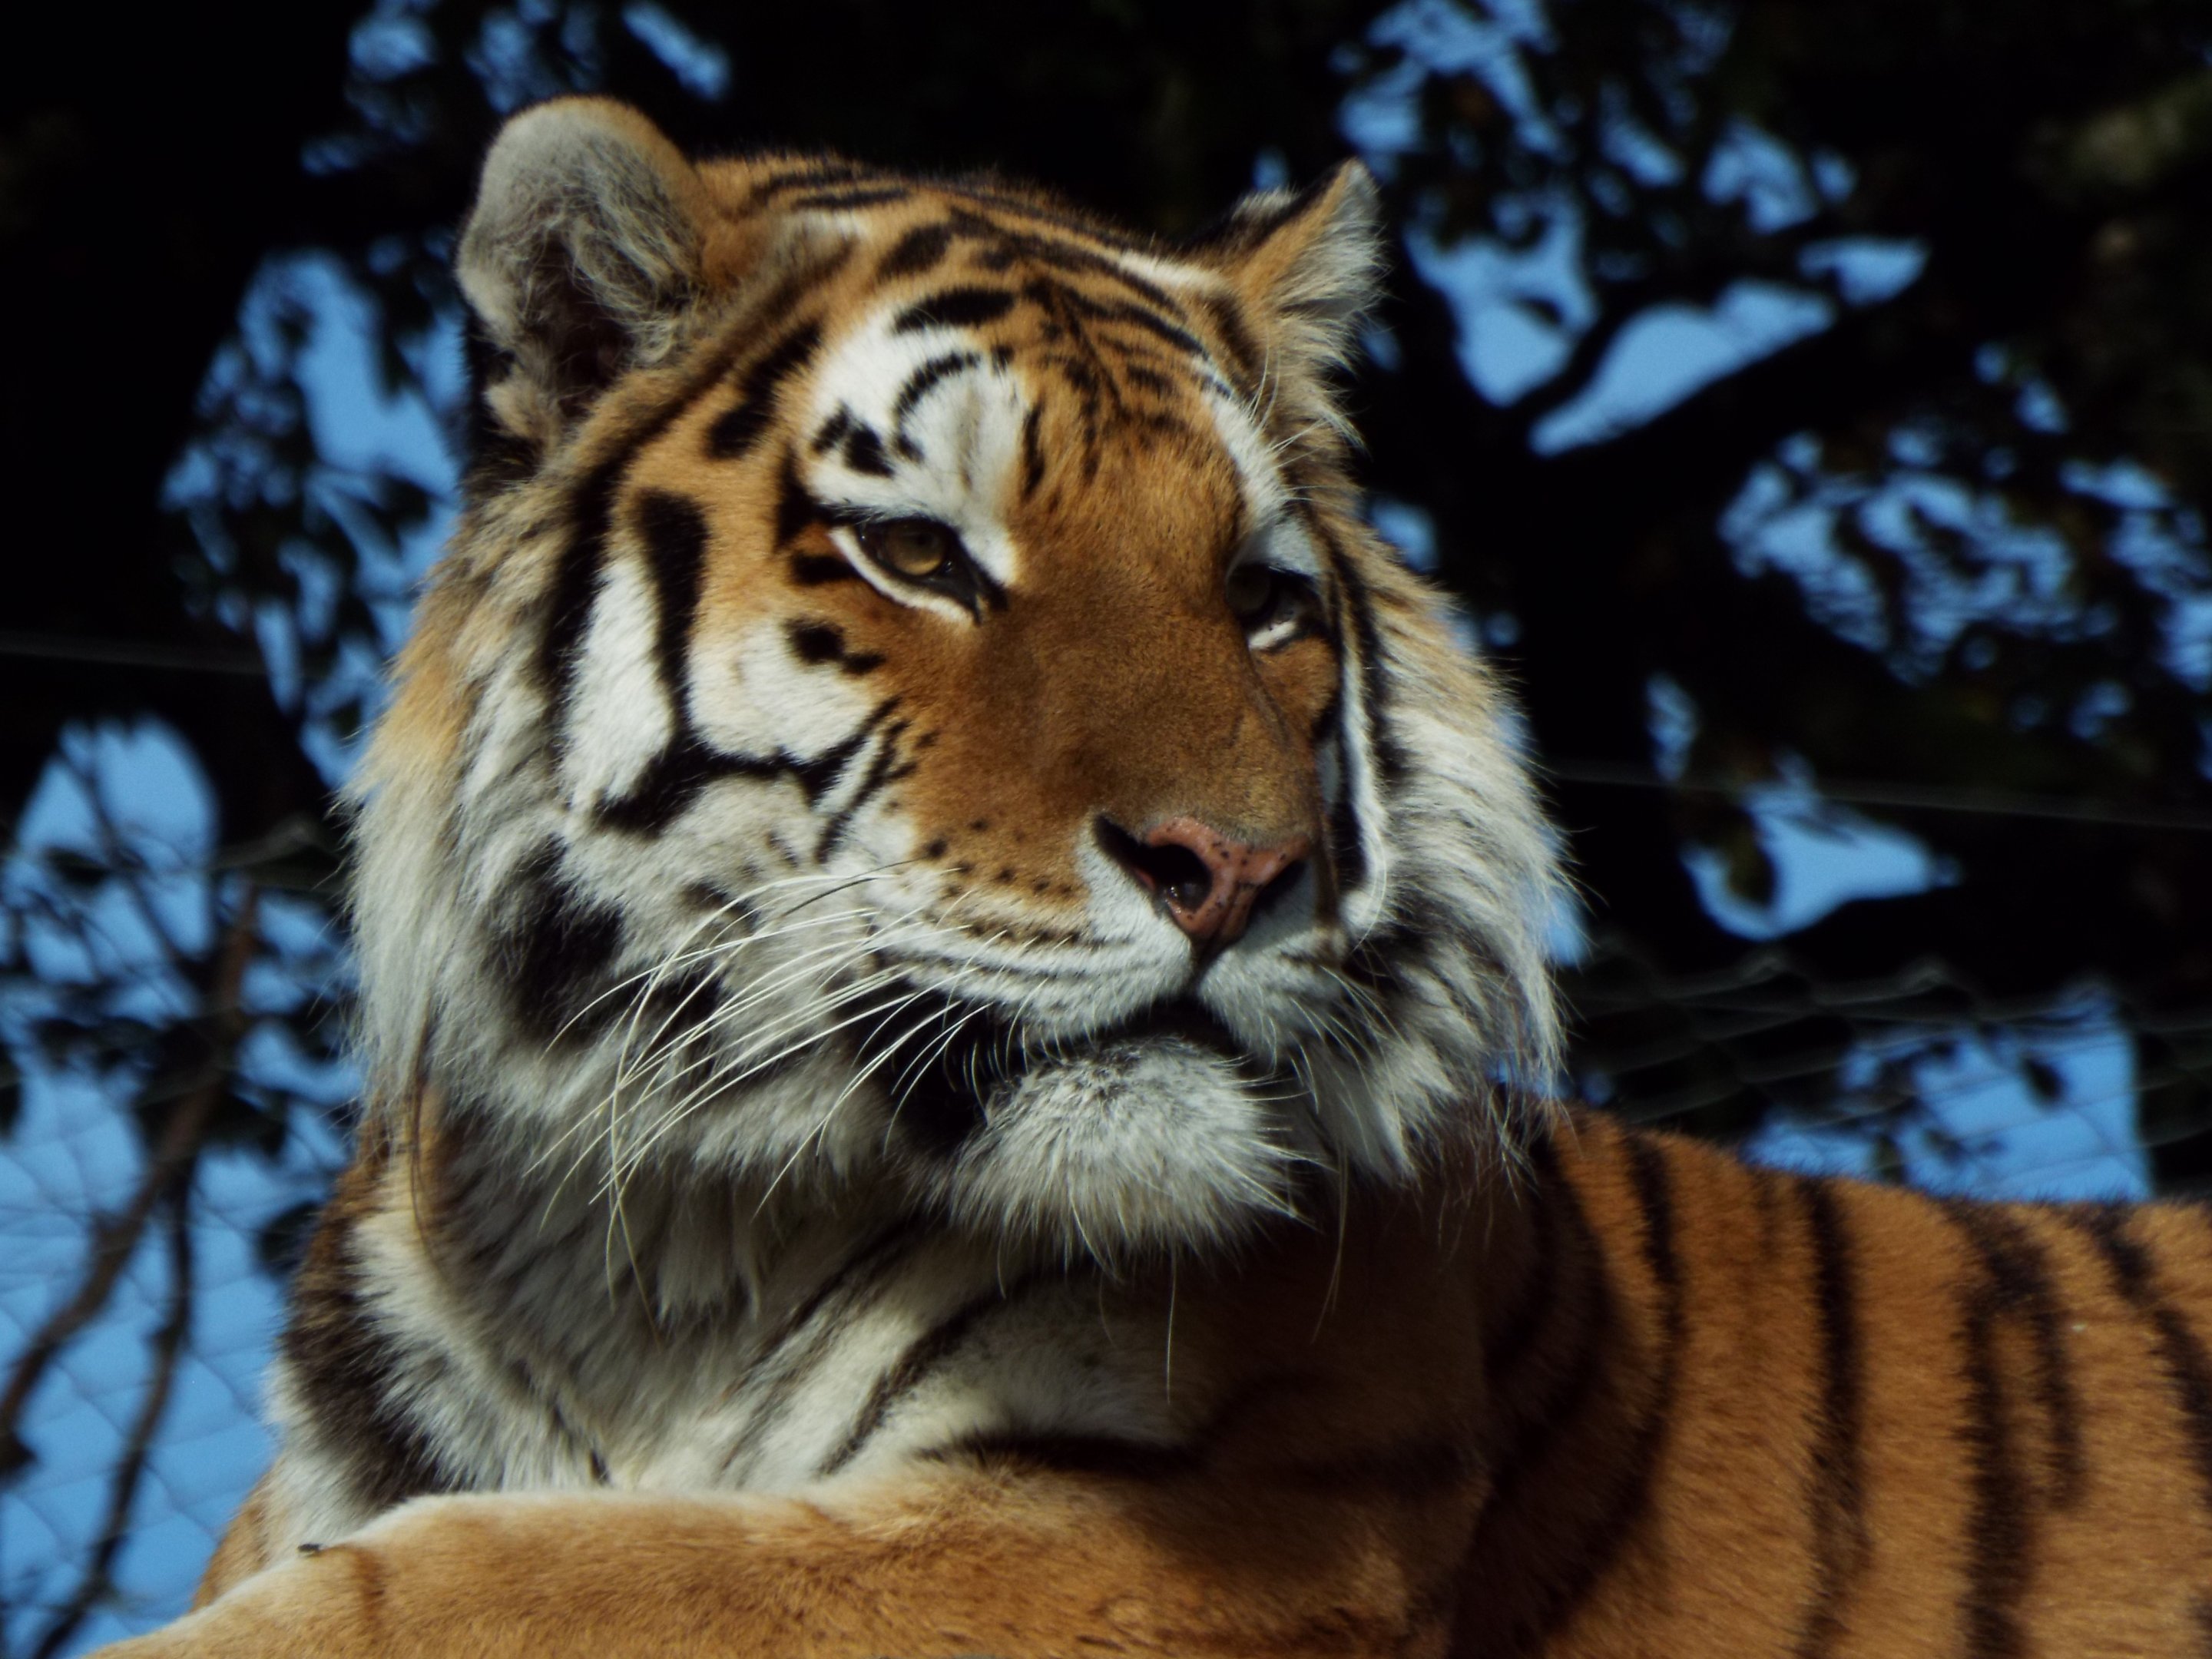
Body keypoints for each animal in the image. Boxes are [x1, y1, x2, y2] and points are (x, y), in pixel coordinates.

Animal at [97, 96, 2212, 1659]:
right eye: (922, 556)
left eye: (1262, 601)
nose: (1237, 867)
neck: (647, 1262)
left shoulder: (1209, 1529)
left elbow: (525, 1569)